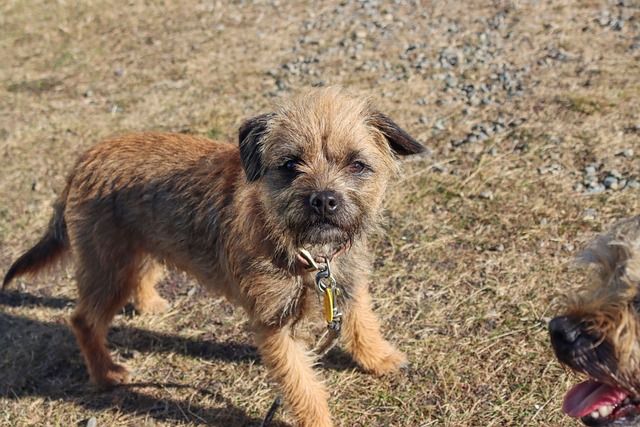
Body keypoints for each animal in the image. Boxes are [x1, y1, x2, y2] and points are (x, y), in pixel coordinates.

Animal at [5, 88, 428, 427]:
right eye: (290, 165)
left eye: (357, 165)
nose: (324, 199)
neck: (308, 251)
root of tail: (85, 160)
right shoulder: (276, 329)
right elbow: (302, 385)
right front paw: (318, 420)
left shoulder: (347, 285)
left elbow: (362, 323)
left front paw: (379, 358)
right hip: (107, 270)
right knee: (82, 320)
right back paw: (106, 372)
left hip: (140, 250)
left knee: (137, 278)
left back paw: (149, 304)